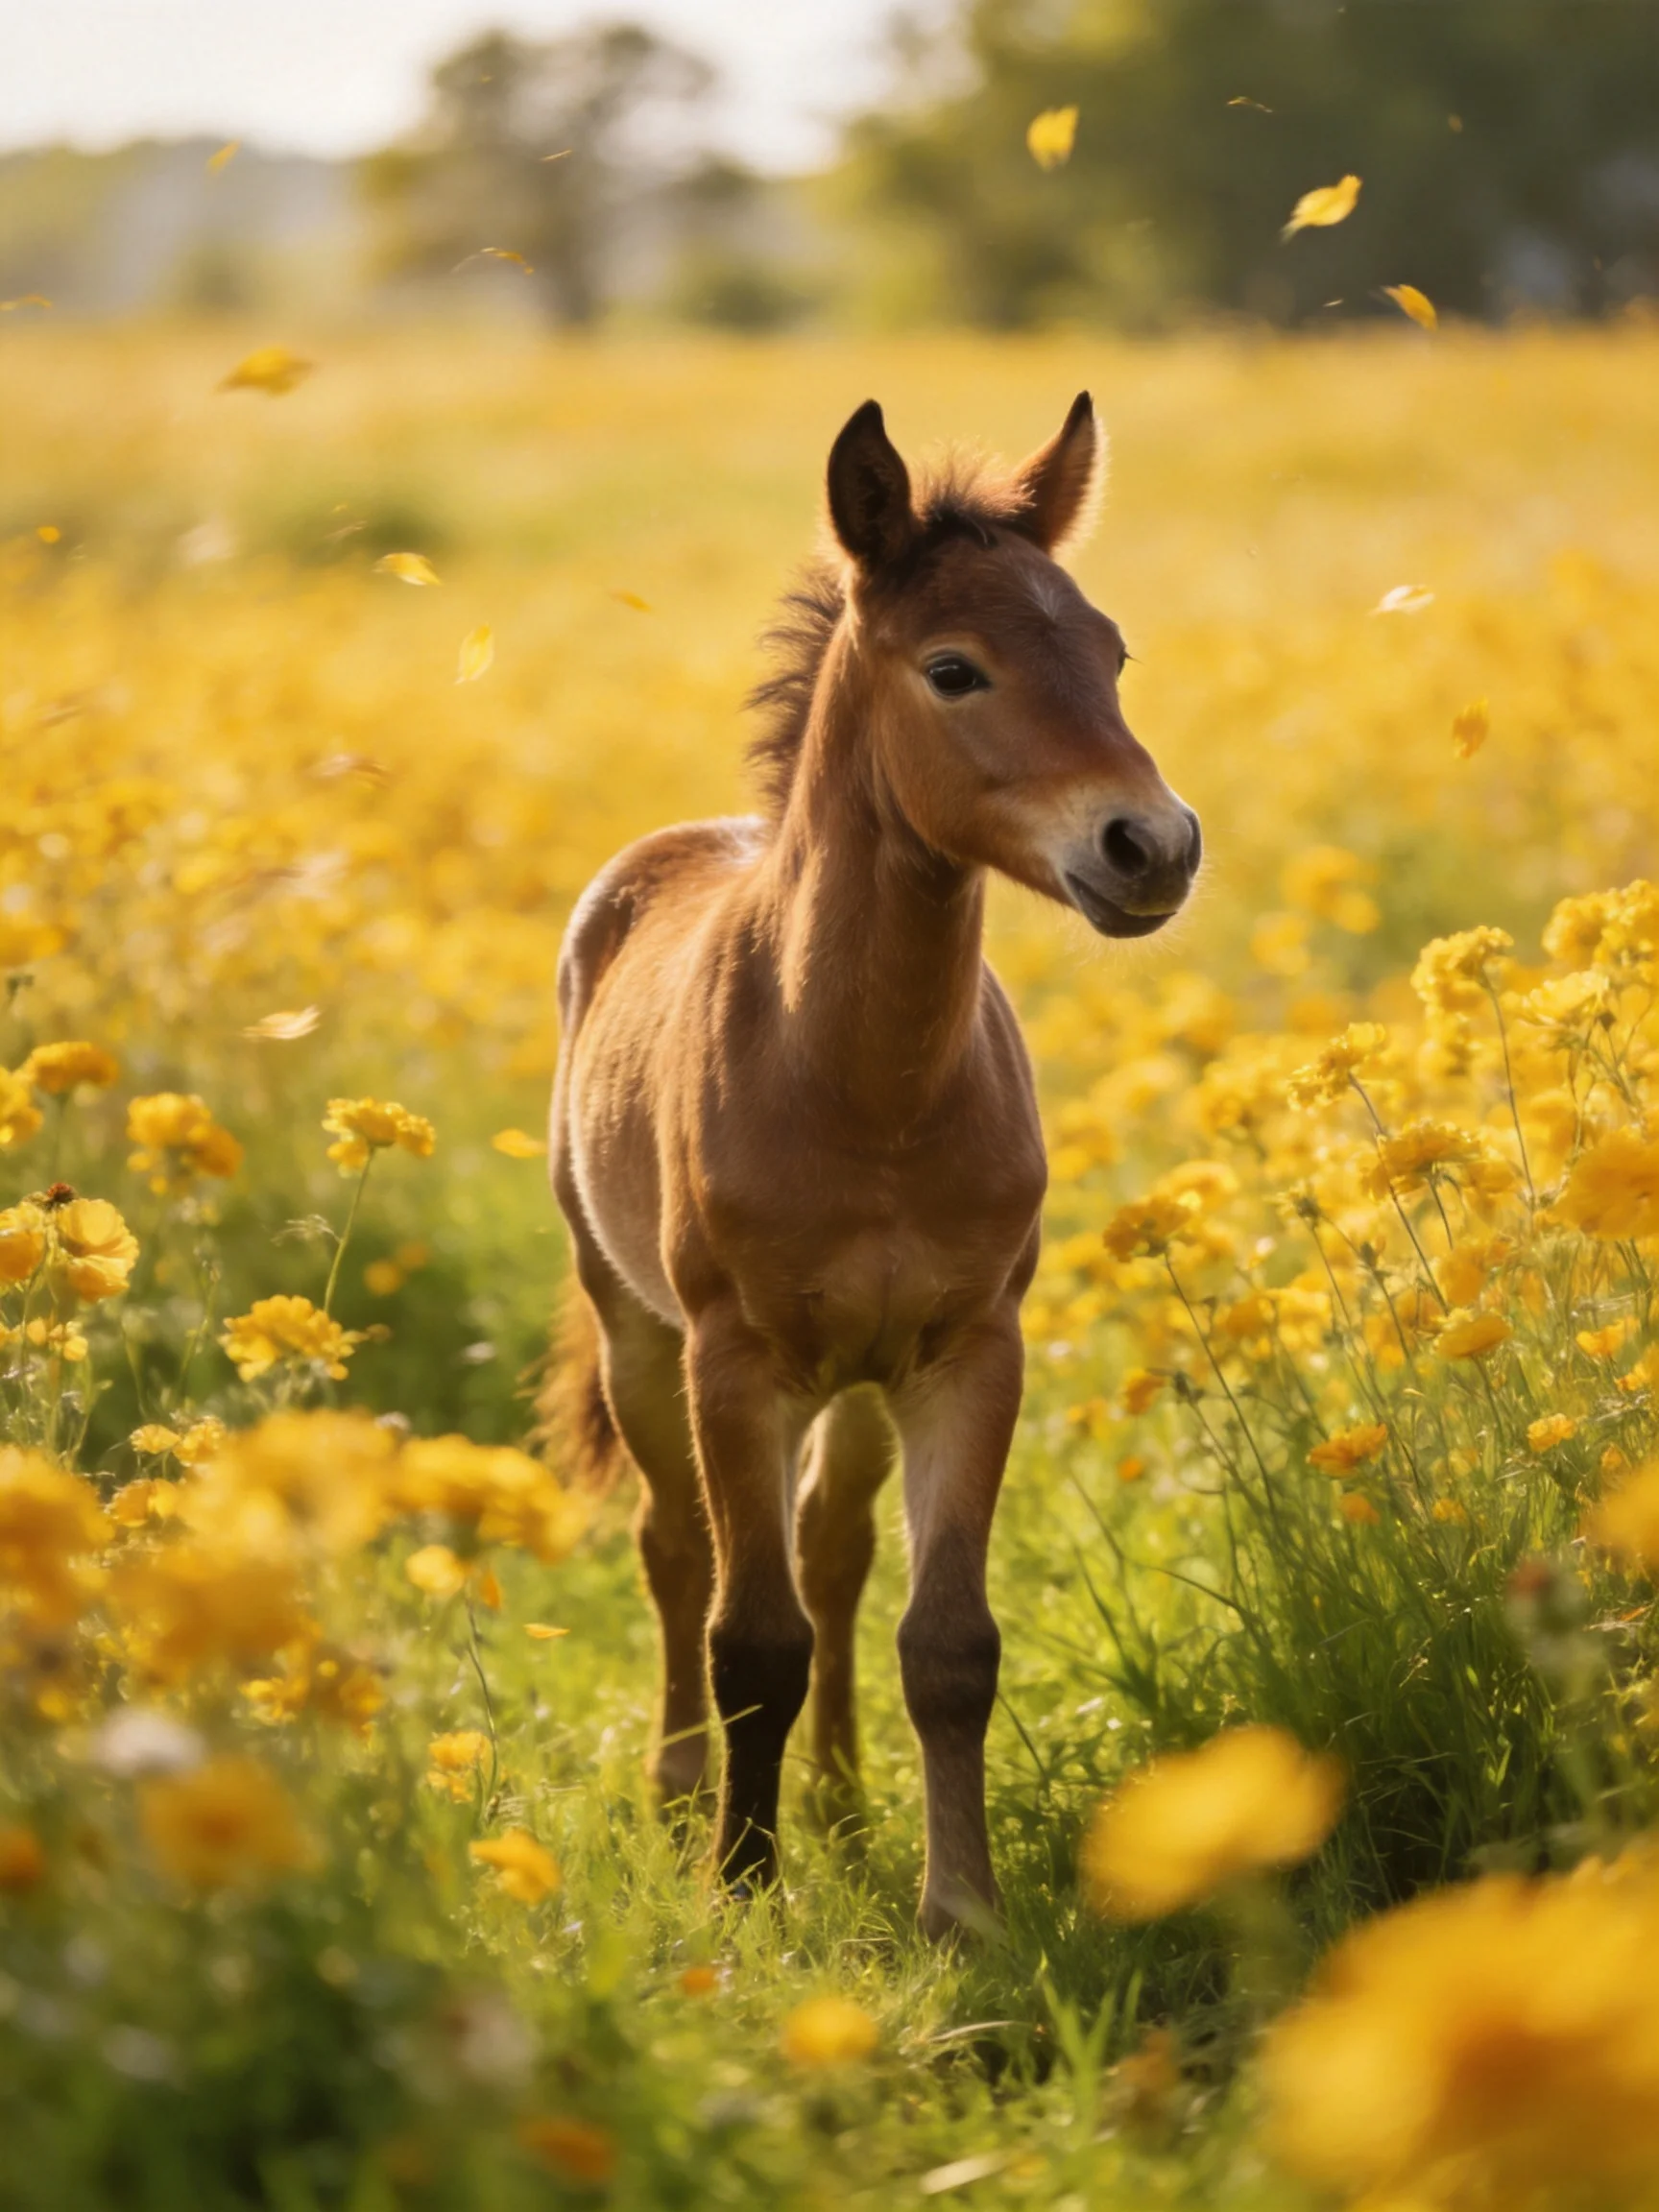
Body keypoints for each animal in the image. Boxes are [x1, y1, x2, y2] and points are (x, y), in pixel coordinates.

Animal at [547, 393, 1200, 1936]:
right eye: (953, 668)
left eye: (1111, 652)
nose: (1152, 846)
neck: (868, 1089)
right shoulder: (734, 1362)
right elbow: (749, 1638)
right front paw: (740, 1892)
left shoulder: (968, 1353)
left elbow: (947, 1641)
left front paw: (959, 1910)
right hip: (638, 1333)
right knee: (677, 1549)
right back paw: (682, 1801)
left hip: (853, 1382)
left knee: (834, 1552)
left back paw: (841, 1802)